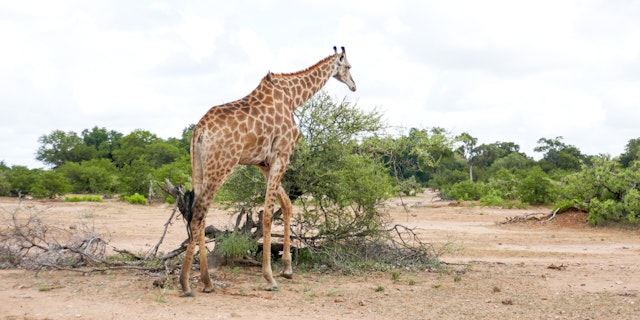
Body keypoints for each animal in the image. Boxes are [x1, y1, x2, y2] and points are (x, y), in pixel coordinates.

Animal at [180, 46, 358, 296]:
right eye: (349, 66)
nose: (354, 85)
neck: (293, 98)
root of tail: (199, 130)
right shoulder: (282, 155)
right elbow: (267, 213)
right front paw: (270, 277)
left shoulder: (263, 162)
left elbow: (287, 205)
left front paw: (287, 269)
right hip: (222, 165)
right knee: (198, 214)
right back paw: (187, 284)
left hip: (198, 167)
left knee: (200, 214)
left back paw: (207, 282)